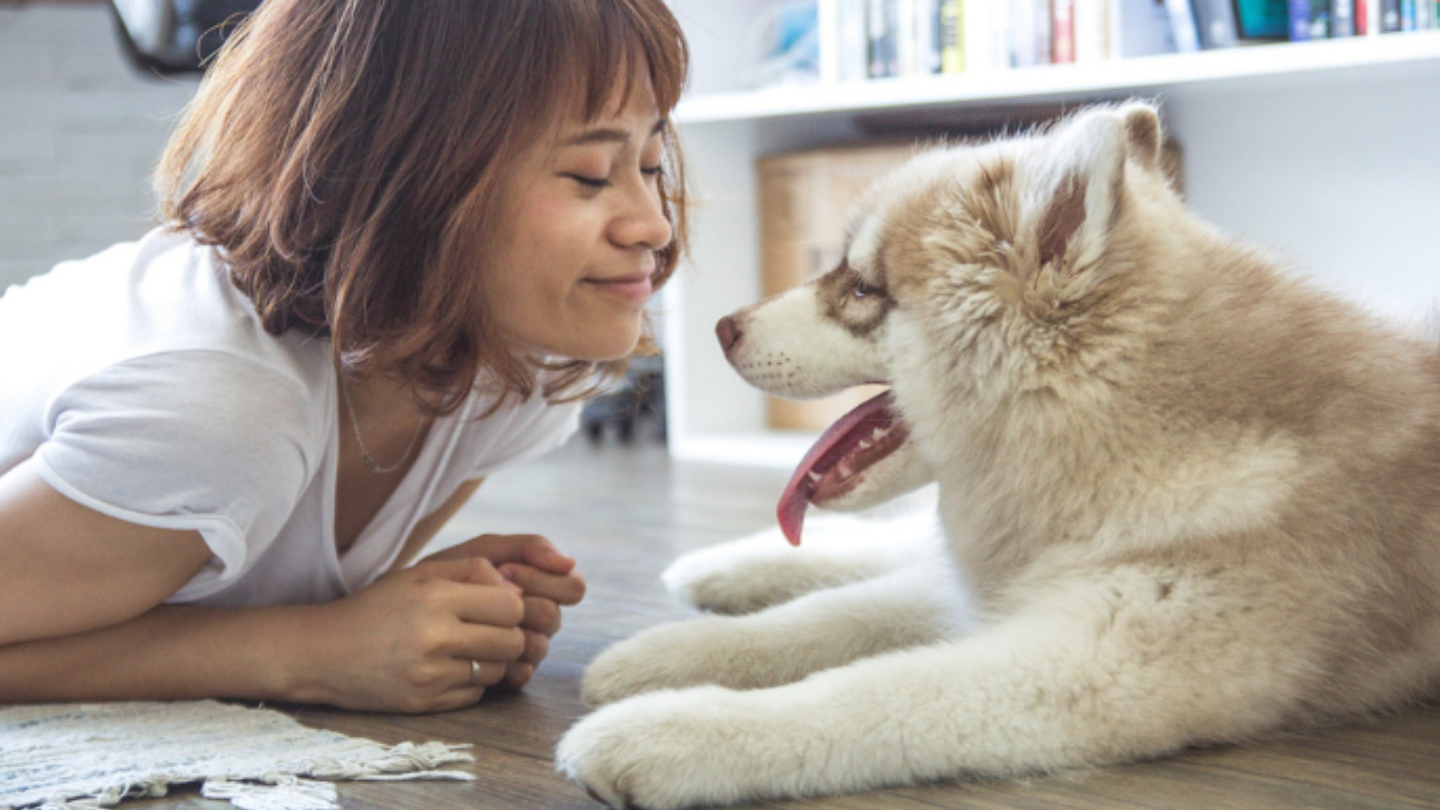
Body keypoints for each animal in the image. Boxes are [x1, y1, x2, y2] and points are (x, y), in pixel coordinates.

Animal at [550, 103, 1440, 801]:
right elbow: (823, 619)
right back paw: (723, 568)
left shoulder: (1086, 661)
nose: (720, 328)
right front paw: (666, 655)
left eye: (862, 288)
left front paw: (669, 730)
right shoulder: (1007, 587)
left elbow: (867, 692)